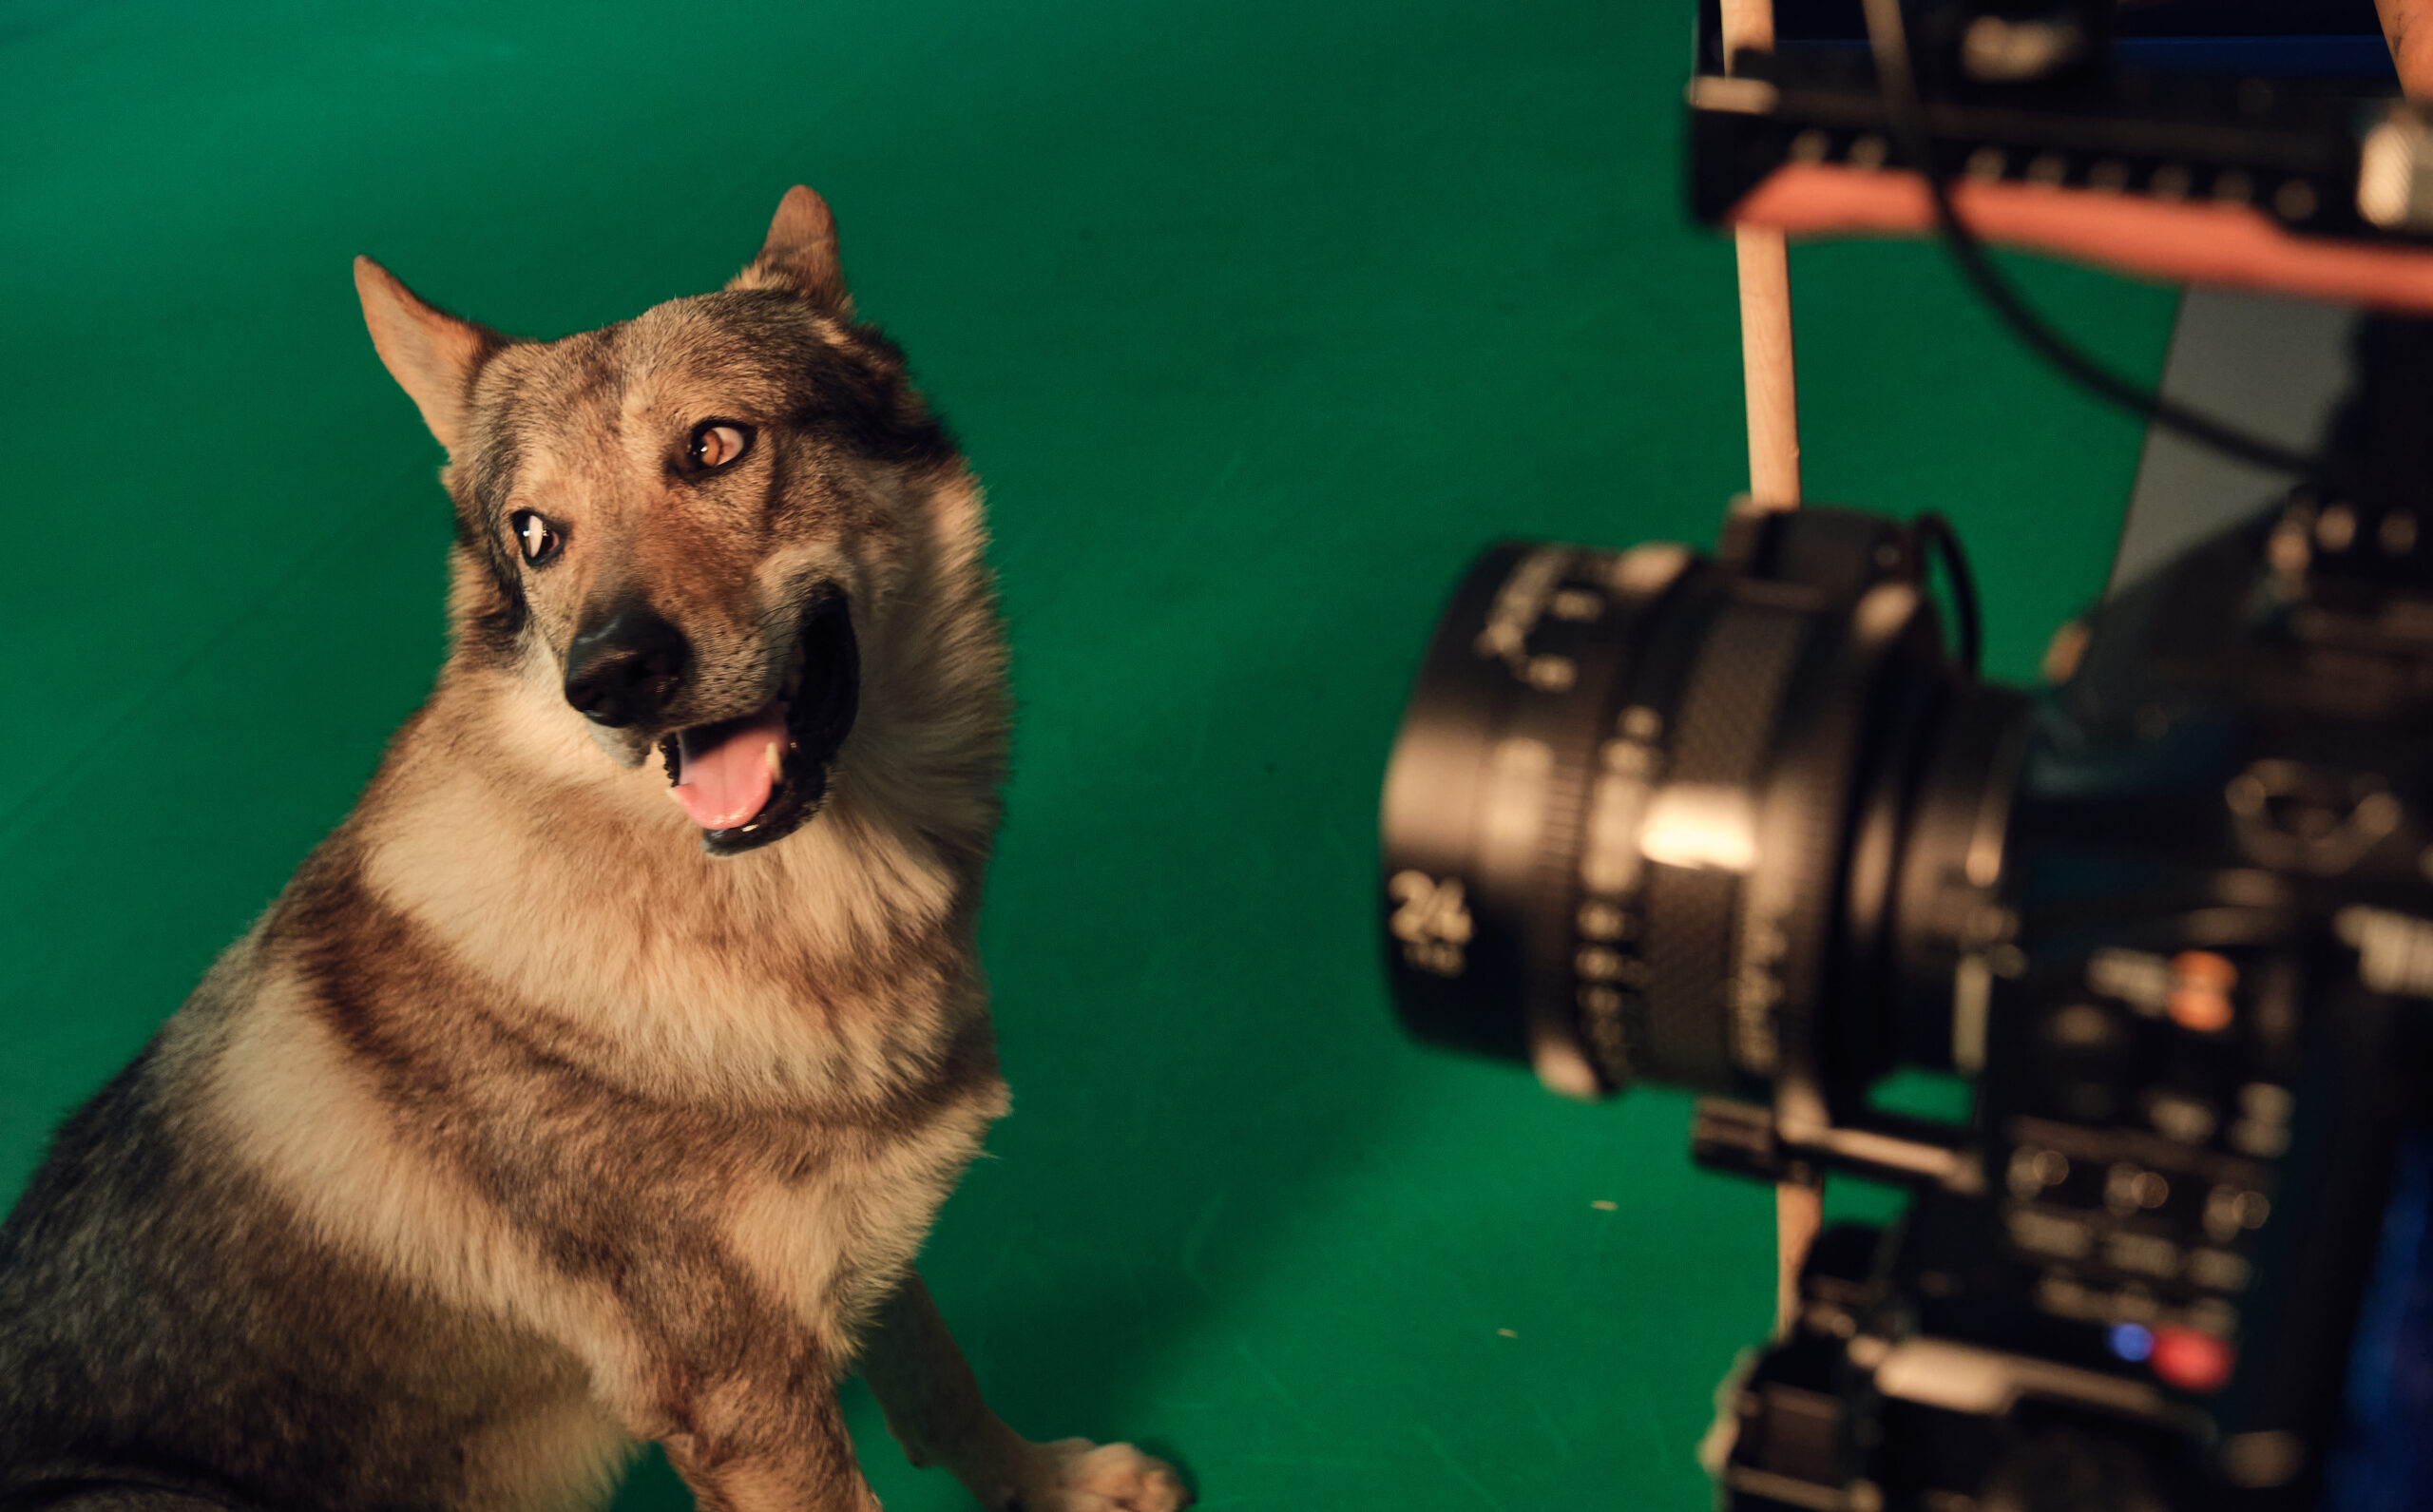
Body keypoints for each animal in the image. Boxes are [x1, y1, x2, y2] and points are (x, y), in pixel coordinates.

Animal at [0, 188, 1191, 1512]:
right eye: (535, 535)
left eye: (714, 448)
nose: (610, 677)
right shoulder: (740, 1396)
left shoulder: (849, 1270)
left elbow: (943, 1387)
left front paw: (1055, 1485)